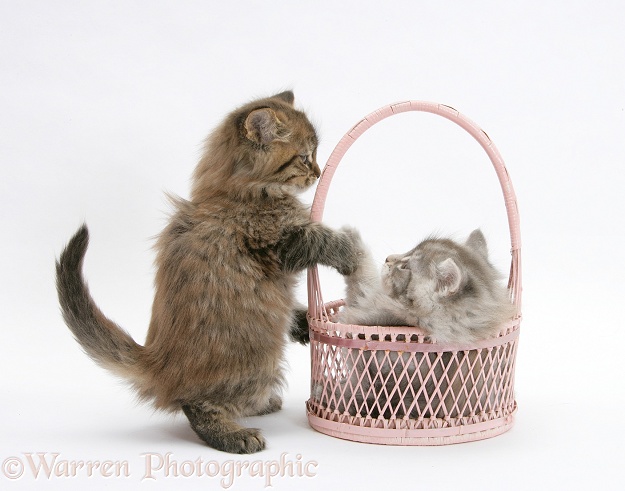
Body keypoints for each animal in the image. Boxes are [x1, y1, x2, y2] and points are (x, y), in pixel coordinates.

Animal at [56, 91, 358, 454]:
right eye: (303, 157)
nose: (317, 171)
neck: (237, 191)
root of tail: (159, 363)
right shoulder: (280, 241)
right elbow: (321, 237)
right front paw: (350, 250)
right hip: (258, 360)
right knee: (198, 404)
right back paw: (235, 433)